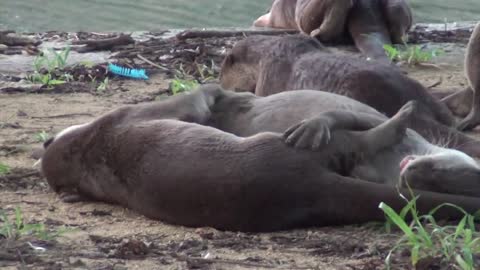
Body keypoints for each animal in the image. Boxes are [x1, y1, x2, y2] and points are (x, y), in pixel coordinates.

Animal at [41, 85, 480, 231]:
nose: (412, 174)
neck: (87, 147)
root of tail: (304, 188)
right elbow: (202, 93)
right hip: (282, 149)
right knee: (356, 139)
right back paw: (399, 118)